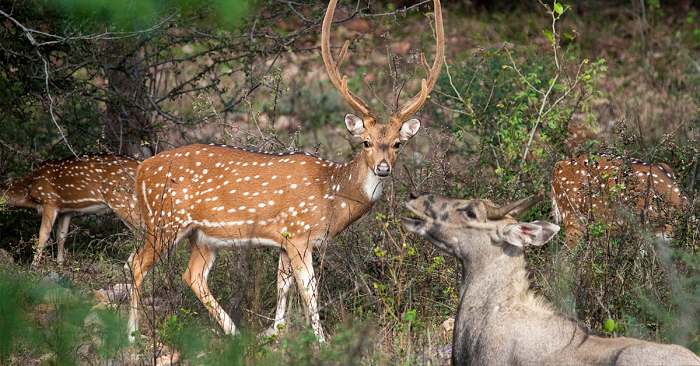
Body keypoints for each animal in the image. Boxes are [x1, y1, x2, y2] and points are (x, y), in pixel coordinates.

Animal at [0, 153, 142, 268]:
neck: (29, 189)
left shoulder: (49, 201)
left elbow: (43, 235)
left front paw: (33, 266)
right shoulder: (66, 209)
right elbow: (61, 235)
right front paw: (60, 263)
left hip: (122, 199)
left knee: (141, 231)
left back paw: (128, 266)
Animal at [126, 0, 442, 344]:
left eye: (398, 144)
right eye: (366, 142)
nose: (383, 168)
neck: (332, 196)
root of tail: (141, 170)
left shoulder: (284, 238)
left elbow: (283, 285)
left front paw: (274, 333)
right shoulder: (300, 232)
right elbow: (309, 291)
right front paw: (321, 341)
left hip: (202, 236)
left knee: (192, 275)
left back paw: (235, 332)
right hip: (164, 221)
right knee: (136, 263)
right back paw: (131, 335)